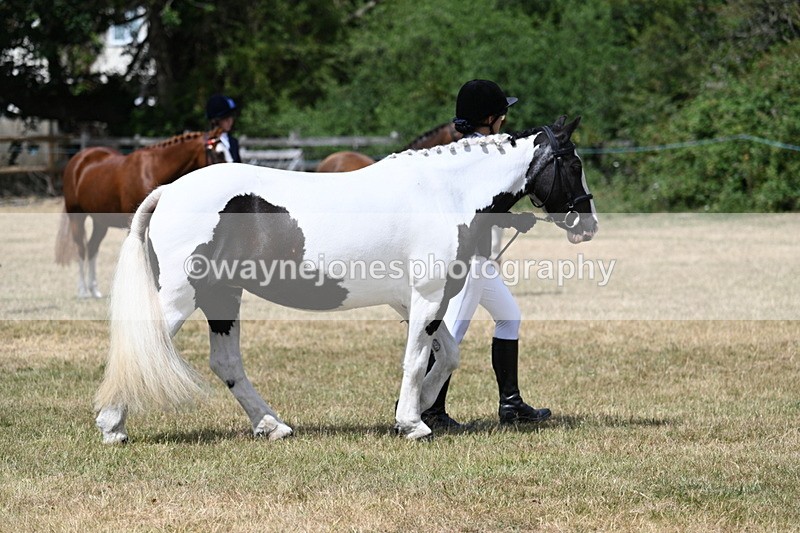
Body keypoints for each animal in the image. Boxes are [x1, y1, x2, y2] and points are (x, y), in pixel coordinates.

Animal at [55, 129, 232, 298]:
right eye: (219, 153)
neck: (152, 170)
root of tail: (78, 159)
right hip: (77, 217)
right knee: (81, 249)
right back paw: (83, 290)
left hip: (100, 222)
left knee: (92, 248)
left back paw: (94, 290)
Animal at [94, 116, 597, 444]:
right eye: (573, 163)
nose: (587, 224)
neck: (445, 192)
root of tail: (168, 191)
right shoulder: (428, 297)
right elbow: (417, 360)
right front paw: (413, 423)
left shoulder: (413, 302)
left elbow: (446, 355)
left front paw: (414, 411)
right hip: (184, 296)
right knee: (147, 346)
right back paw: (112, 425)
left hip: (223, 296)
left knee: (227, 363)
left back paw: (272, 426)